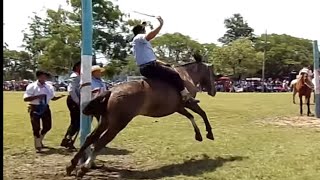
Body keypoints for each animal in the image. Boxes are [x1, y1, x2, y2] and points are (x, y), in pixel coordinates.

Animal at [66, 53, 218, 177]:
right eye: (212, 73)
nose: (214, 91)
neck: (185, 76)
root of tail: (112, 90)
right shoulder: (188, 104)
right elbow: (202, 113)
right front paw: (209, 133)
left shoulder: (178, 108)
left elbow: (191, 116)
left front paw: (198, 135)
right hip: (117, 124)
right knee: (100, 142)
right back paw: (84, 167)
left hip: (105, 121)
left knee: (90, 138)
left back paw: (72, 164)